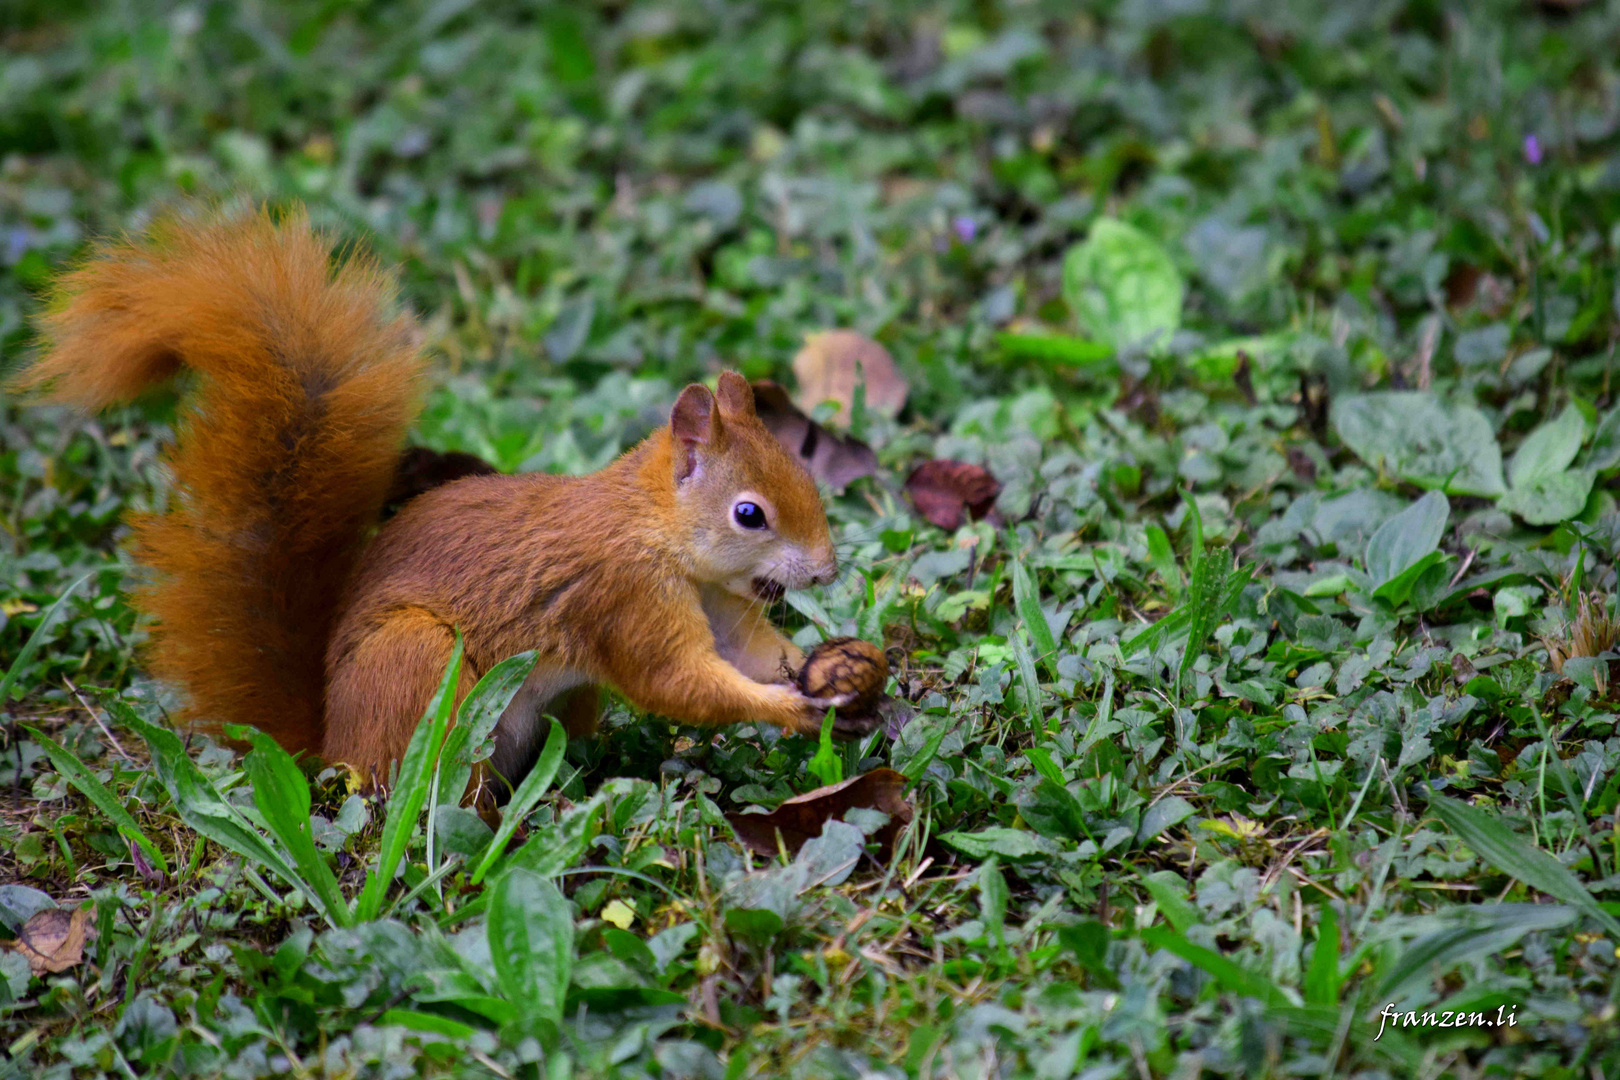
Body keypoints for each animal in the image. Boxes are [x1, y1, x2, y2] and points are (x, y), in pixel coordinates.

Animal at [15, 208, 874, 786]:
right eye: (749, 514)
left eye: (806, 476)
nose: (827, 571)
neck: (658, 531)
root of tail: (330, 744)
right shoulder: (623, 597)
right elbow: (682, 683)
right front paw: (790, 707)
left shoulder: (719, 600)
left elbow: (748, 653)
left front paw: (836, 662)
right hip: (424, 667)